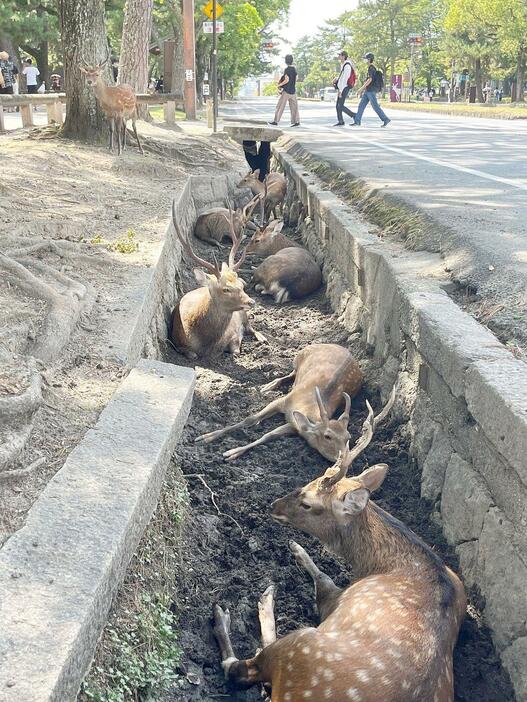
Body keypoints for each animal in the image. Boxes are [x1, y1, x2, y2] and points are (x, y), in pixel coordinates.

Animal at [170, 202, 266, 358]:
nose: (251, 302)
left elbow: (235, 350)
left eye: (241, 284)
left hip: (243, 314)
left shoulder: (234, 332)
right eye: (226, 289)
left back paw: (262, 338)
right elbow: (192, 355)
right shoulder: (177, 341)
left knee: (251, 327)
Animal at [196, 346, 366, 464]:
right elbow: (250, 419)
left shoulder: (294, 424)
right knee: (291, 373)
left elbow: (269, 435)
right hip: (298, 358)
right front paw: (206, 437)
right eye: (327, 436)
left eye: (348, 437)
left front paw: (232, 452)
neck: (307, 406)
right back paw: (268, 386)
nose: (345, 460)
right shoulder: (283, 401)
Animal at [213, 390, 466, 702]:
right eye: (309, 479)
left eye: (308, 503)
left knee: (239, 669)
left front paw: (295, 548)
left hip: (301, 647)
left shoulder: (336, 600)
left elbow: (323, 578)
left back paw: (244, 608)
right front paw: (296, 548)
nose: (274, 506)